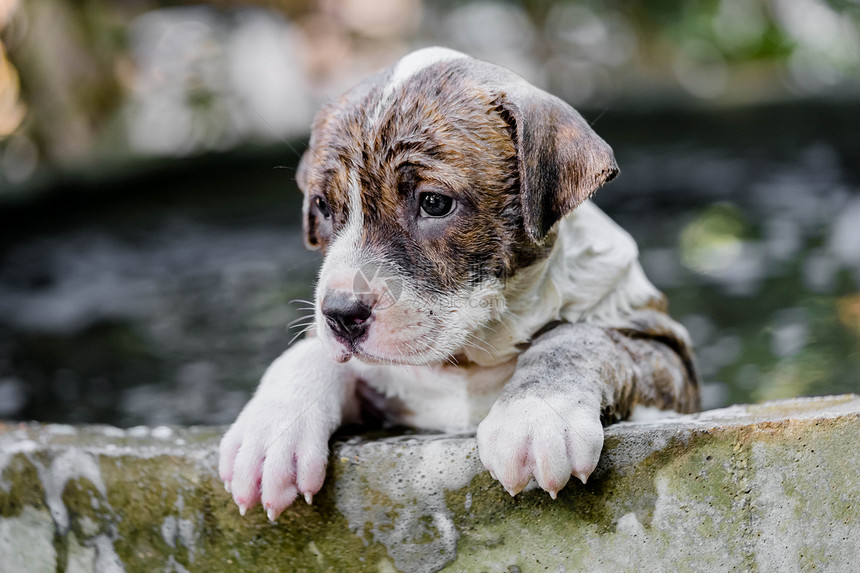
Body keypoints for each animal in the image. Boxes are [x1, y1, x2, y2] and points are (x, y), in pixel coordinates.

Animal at [217, 47, 700, 520]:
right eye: (322, 206)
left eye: (434, 203)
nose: (340, 313)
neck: (468, 359)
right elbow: (309, 353)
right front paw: (270, 432)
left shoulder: (666, 357)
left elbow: (578, 337)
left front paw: (535, 413)